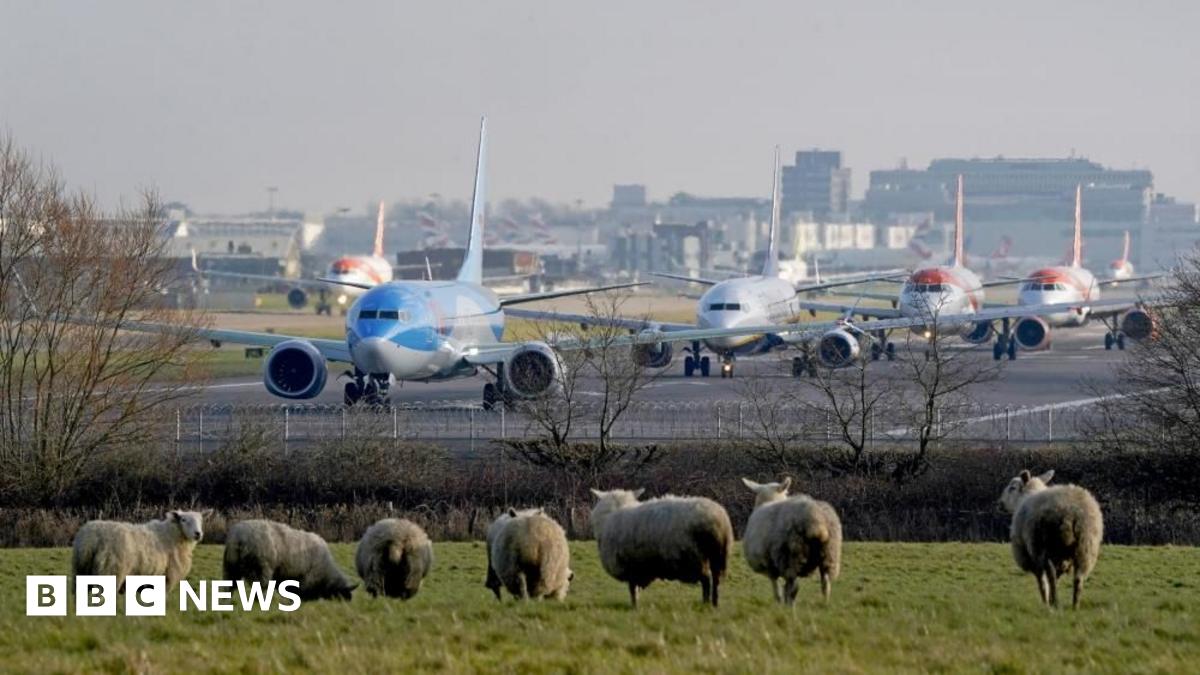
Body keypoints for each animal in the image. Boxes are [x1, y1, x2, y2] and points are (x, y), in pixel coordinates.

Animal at [71, 510, 209, 592]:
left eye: (201, 520)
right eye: (183, 520)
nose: (198, 534)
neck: (173, 535)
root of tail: (89, 539)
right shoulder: (168, 578)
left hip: (81, 572)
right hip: (110, 571)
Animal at [223, 520, 358, 601]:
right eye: (343, 595)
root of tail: (239, 536)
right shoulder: (308, 578)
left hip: (230, 567)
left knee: (228, 587)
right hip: (261, 568)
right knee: (260, 589)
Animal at [589, 488, 733, 608]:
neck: (611, 515)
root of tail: (719, 520)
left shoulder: (631, 566)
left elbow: (632, 589)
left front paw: (634, 606)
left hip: (695, 556)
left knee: (706, 580)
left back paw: (705, 603)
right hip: (716, 555)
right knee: (716, 580)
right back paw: (715, 603)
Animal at [999, 469, 1104, 609]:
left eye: (1012, 487)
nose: (1000, 503)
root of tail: (1072, 512)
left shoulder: (1033, 556)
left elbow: (1042, 582)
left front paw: (1046, 601)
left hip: (1047, 546)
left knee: (1051, 576)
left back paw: (1055, 603)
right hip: (1085, 547)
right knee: (1078, 578)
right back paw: (1074, 606)